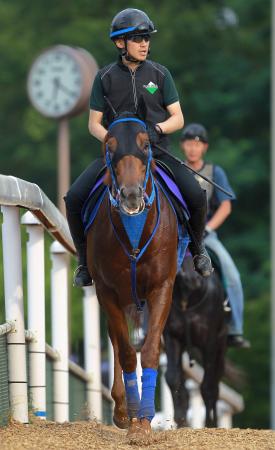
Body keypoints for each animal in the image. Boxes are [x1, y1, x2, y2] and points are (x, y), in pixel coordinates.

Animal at [87, 110, 180, 436]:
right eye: (109, 145)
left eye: (145, 144)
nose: (130, 196)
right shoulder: (107, 291)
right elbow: (126, 351)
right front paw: (132, 416)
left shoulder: (162, 287)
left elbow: (150, 350)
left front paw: (145, 422)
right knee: (117, 341)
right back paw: (122, 409)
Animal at [164, 251, 229, 428]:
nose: (191, 278)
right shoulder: (171, 337)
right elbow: (173, 377)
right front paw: (181, 420)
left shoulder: (210, 342)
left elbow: (208, 386)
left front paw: (209, 423)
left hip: (221, 348)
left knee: (215, 383)